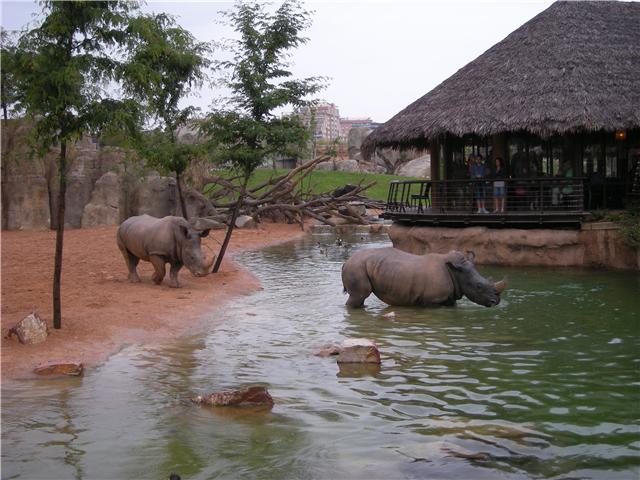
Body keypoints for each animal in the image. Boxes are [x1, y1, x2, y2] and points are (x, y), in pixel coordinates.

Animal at [341, 248, 506, 308]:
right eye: (478, 286)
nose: (496, 301)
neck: (457, 272)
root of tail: (346, 262)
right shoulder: (433, 300)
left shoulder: (449, 297)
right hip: (356, 268)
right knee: (359, 295)